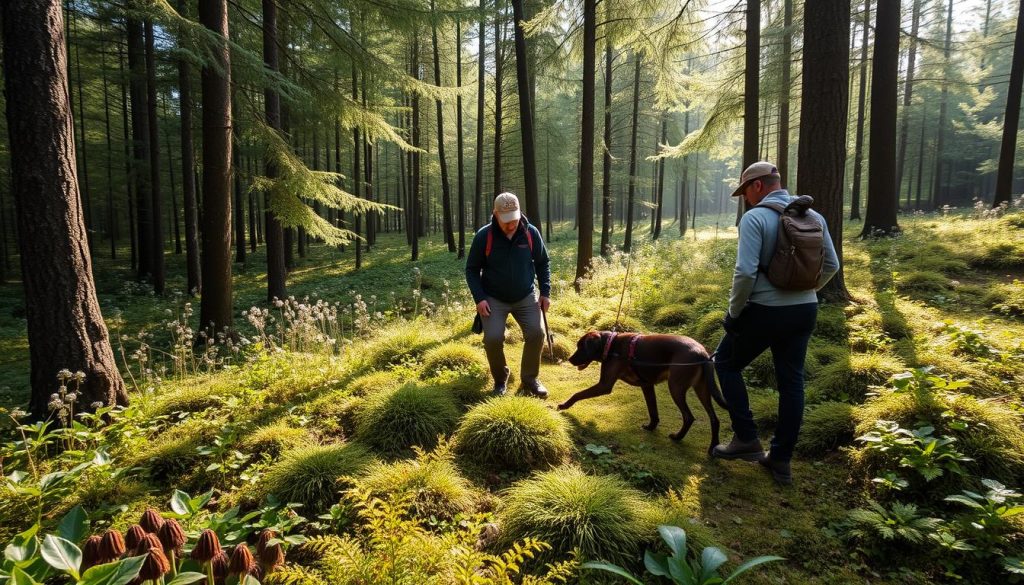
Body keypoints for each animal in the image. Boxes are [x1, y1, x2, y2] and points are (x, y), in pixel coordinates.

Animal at [561, 331, 729, 454]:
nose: (569, 359)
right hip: (702, 389)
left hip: (676, 387)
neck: (611, 346)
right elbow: (653, 410)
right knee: (714, 419)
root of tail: (703, 354)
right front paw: (651, 427)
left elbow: (578, 394)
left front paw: (564, 405)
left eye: (581, 346)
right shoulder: (647, 386)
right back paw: (712, 447)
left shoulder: (604, 385)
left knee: (689, 416)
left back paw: (678, 437)